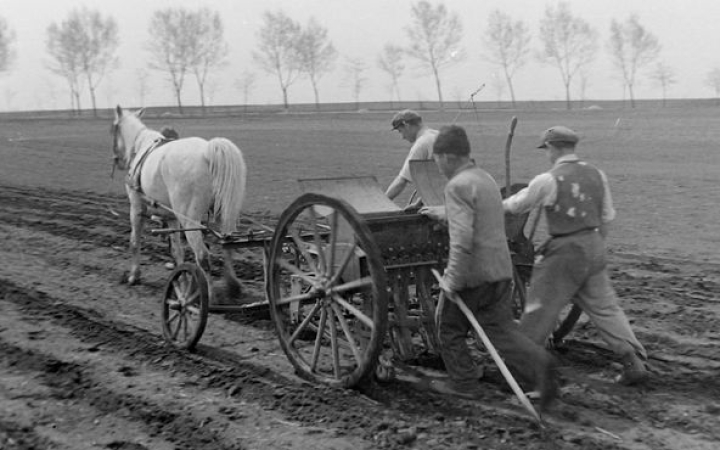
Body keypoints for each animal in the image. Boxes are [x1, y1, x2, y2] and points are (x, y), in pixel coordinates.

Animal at [111, 104, 248, 296]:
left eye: (113, 128)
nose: (117, 160)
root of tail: (207, 151)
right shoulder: (171, 217)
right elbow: (177, 251)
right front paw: (181, 281)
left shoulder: (137, 208)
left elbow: (134, 242)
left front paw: (134, 276)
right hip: (223, 214)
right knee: (228, 246)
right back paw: (232, 285)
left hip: (190, 220)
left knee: (202, 255)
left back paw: (208, 294)